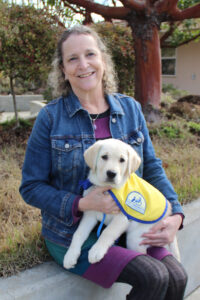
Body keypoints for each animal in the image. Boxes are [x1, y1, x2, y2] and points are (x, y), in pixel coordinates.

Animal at [63, 138, 180, 268]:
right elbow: (78, 233)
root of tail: (168, 213)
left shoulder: (122, 218)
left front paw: (96, 250)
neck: (107, 189)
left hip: (136, 236)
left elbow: (107, 232)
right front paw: (70, 255)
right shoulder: (90, 215)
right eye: (104, 157)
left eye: (122, 160)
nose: (111, 173)